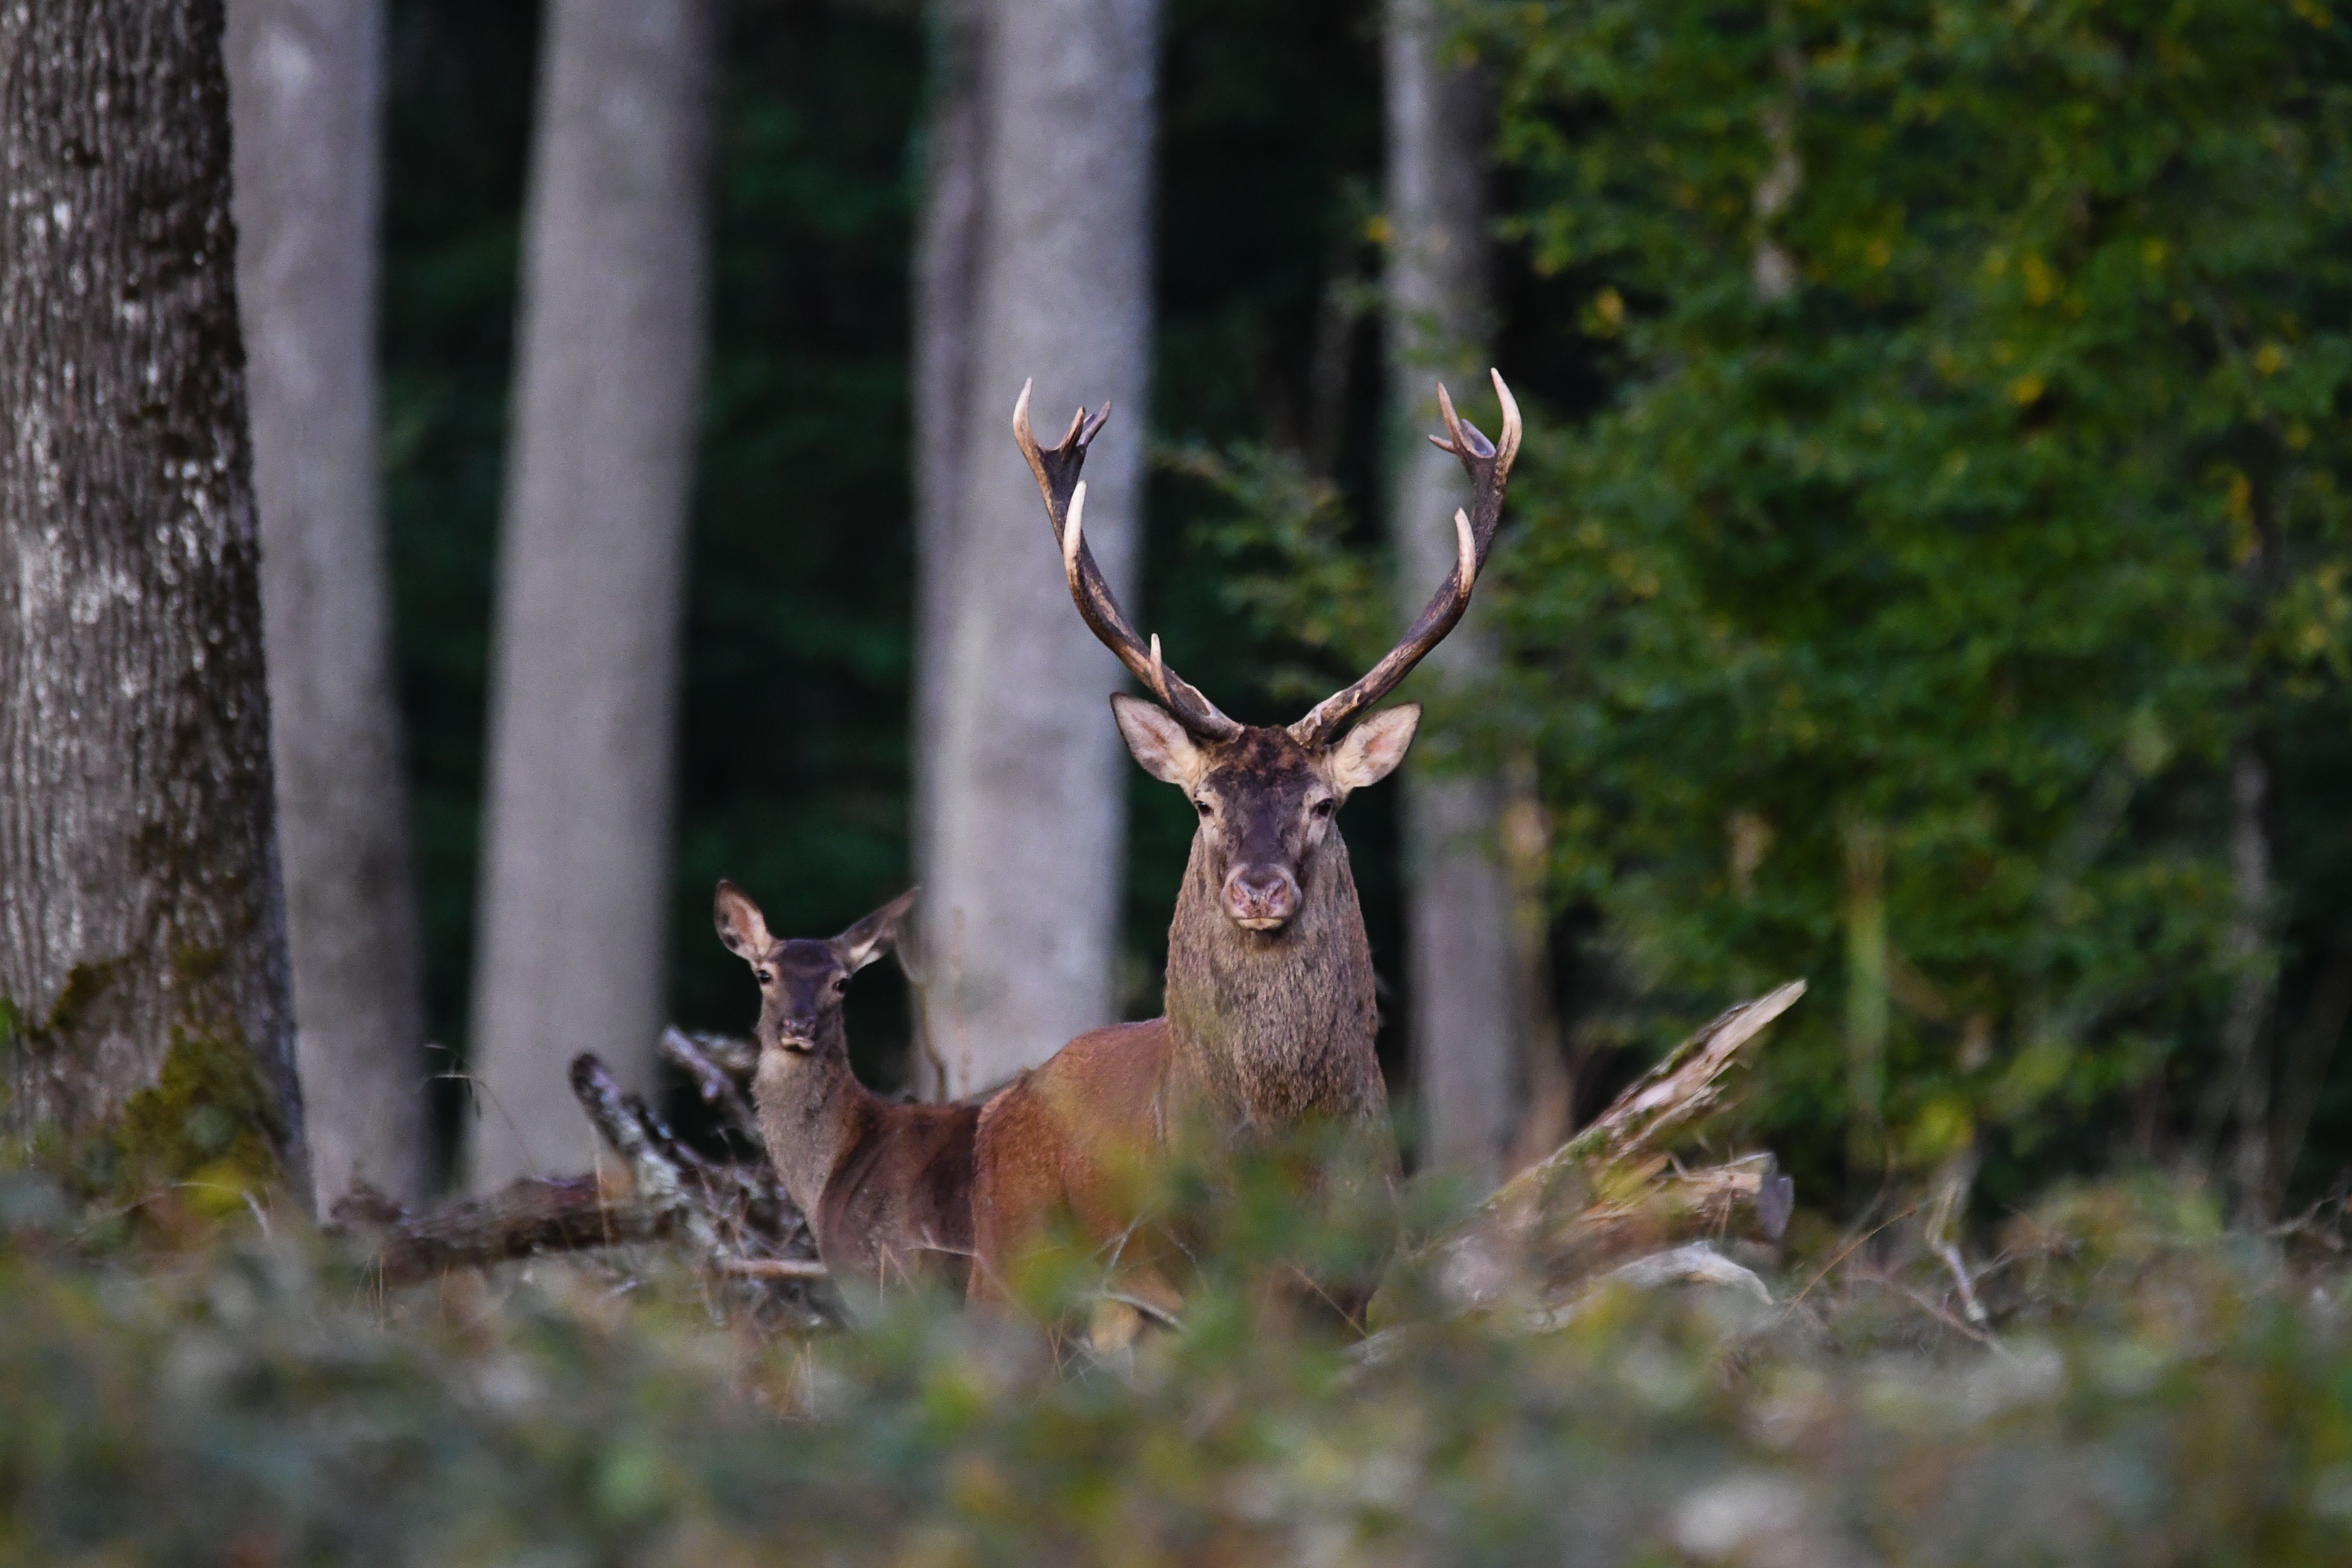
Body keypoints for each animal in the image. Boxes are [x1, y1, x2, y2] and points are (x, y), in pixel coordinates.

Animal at [968, 370, 1520, 1334]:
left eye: (1324, 802)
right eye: (1203, 801)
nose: (1259, 891)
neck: (1284, 1164)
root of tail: (1001, 1106)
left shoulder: (1356, 1288)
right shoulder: (1199, 1289)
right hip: (1005, 1272)